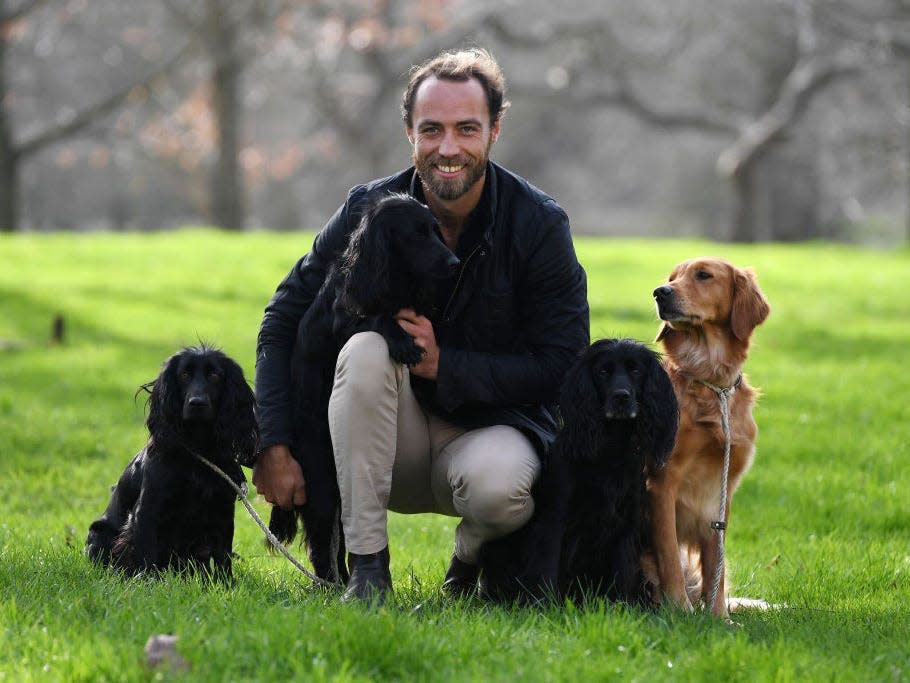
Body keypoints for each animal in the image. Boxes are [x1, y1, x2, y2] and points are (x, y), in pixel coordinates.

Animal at [86, 344, 258, 580]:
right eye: (184, 375)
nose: (197, 403)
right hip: (99, 533)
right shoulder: (147, 510)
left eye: (215, 375)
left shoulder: (222, 511)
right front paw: (148, 581)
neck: (197, 449)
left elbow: (223, 555)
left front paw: (225, 584)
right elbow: (146, 551)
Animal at [268, 191, 460, 584]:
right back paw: (331, 584)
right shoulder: (343, 317)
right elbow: (372, 318)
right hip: (321, 476)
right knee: (322, 541)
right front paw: (400, 339)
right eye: (416, 234)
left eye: (436, 230)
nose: (454, 262)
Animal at [480, 340, 680, 604]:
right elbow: (547, 564)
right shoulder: (555, 518)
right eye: (603, 371)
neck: (611, 448)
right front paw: (543, 604)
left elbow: (624, 569)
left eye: (636, 371)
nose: (621, 397)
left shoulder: (627, 523)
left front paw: (624, 605)